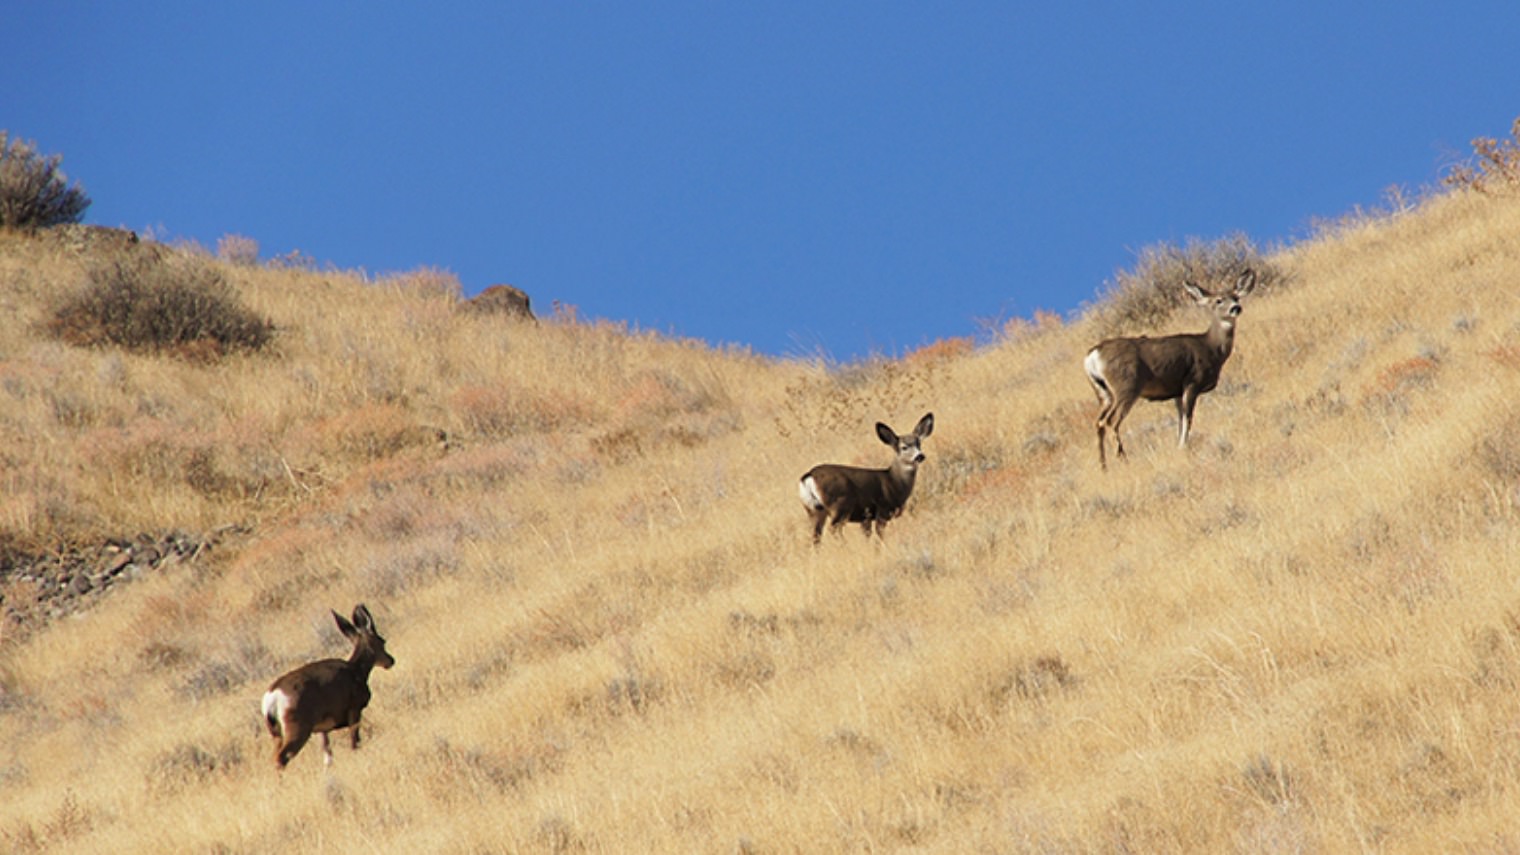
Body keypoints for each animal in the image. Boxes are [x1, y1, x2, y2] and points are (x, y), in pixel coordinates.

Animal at [261, 604, 395, 770]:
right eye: (382, 641)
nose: (391, 660)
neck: (357, 671)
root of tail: (272, 698)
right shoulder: (354, 708)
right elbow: (354, 742)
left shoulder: (322, 728)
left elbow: (327, 754)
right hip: (297, 728)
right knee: (280, 758)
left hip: (277, 734)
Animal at [798, 413, 934, 544]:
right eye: (904, 447)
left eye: (919, 444)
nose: (920, 456)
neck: (893, 482)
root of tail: (809, 475)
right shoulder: (882, 510)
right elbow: (879, 536)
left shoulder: (865, 517)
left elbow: (867, 536)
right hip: (839, 504)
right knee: (833, 529)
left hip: (813, 509)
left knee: (816, 536)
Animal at [1083, 269, 1256, 469]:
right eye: (1218, 300)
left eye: (1236, 297)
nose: (1236, 308)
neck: (1211, 348)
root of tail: (1093, 355)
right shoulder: (1192, 381)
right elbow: (1188, 418)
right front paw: (1182, 447)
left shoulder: (1176, 391)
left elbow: (1180, 420)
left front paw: (1179, 445)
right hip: (1126, 386)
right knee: (1110, 421)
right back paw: (1122, 457)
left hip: (1103, 393)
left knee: (1098, 423)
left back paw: (1103, 466)